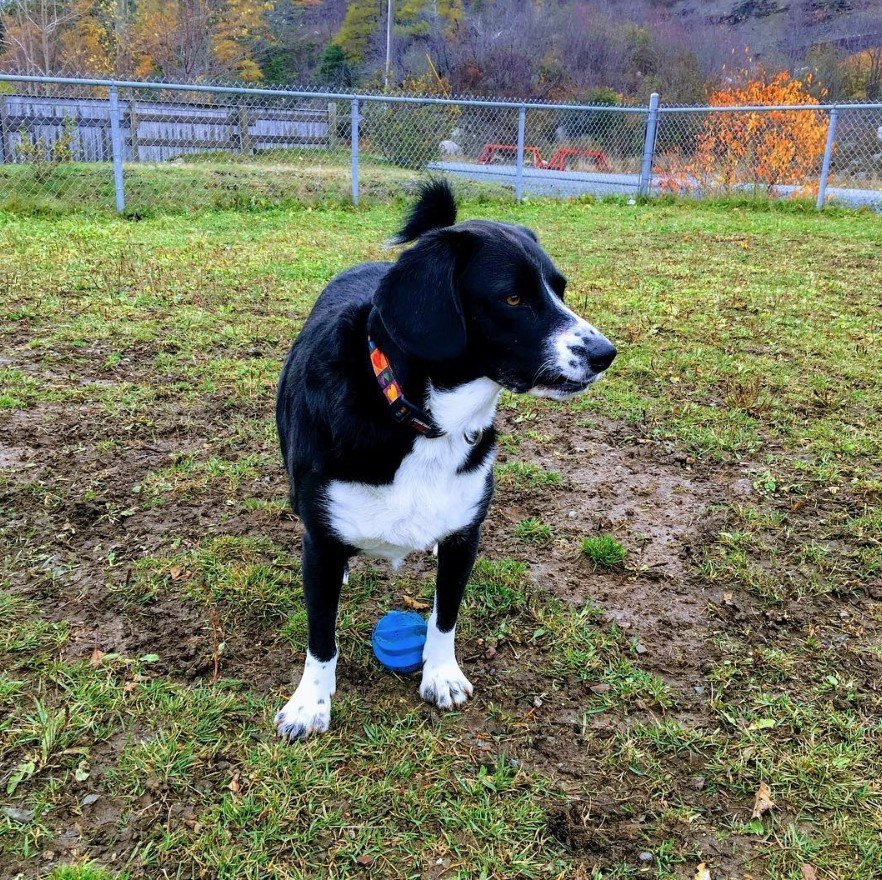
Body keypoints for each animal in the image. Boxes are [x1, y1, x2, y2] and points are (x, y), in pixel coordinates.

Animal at [274, 180, 612, 744]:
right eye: (513, 297)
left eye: (560, 290)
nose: (606, 353)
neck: (427, 422)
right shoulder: (320, 543)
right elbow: (321, 635)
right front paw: (309, 703)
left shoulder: (464, 539)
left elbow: (444, 615)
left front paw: (441, 674)